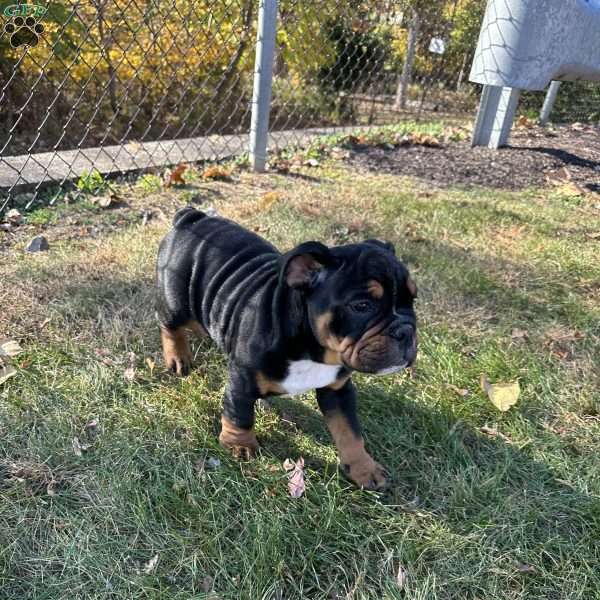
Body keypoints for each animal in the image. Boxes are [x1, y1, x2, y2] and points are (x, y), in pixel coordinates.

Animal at [156, 209, 418, 490]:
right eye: (361, 306)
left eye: (412, 300)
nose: (405, 330)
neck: (312, 351)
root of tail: (192, 217)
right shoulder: (242, 381)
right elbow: (239, 414)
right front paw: (238, 445)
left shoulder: (338, 391)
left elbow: (350, 432)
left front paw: (363, 468)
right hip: (177, 303)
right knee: (169, 325)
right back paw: (178, 357)